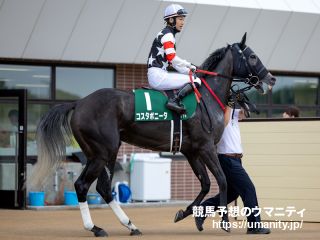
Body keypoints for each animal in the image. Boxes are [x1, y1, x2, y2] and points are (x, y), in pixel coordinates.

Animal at [31, 33, 276, 236]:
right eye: (253, 56)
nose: (271, 79)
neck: (205, 97)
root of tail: (79, 103)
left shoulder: (191, 151)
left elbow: (206, 184)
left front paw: (186, 213)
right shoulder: (206, 147)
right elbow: (222, 180)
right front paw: (224, 222)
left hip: (102, 152)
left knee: (103, 188)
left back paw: (130, 225)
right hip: (102, 152)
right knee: (83, 185)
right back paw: (96, 228)